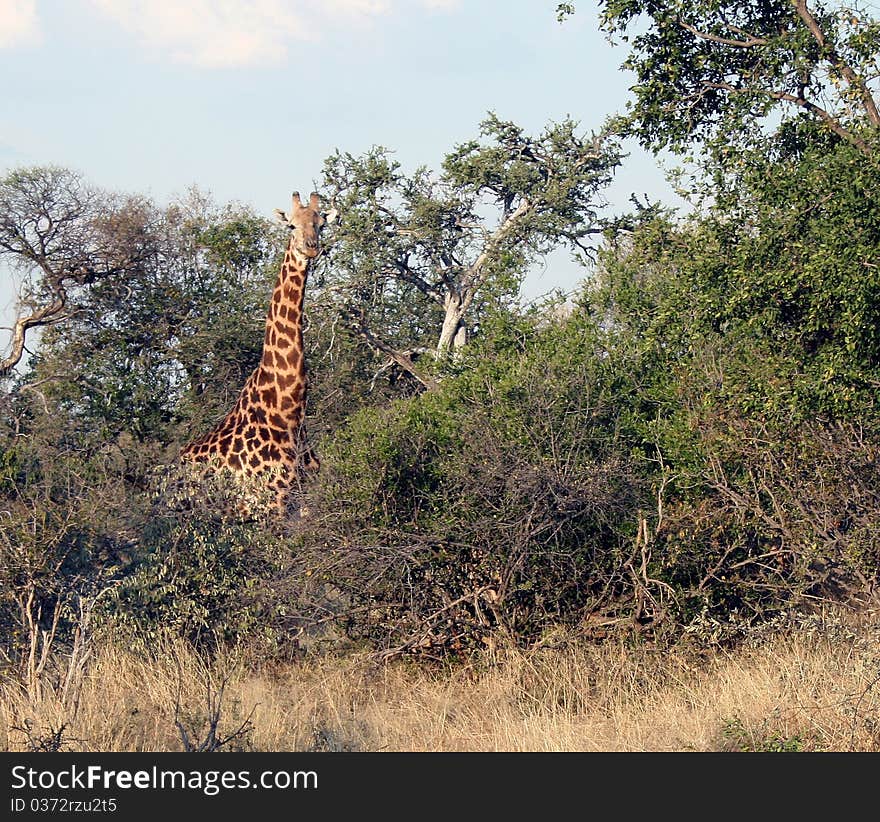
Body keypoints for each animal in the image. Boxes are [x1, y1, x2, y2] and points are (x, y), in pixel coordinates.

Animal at [179, 190, 334, 520]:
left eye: (321, 224)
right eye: (291, 226)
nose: (310, 247)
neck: (288, 412)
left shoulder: (304, 501)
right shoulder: (271, 505)